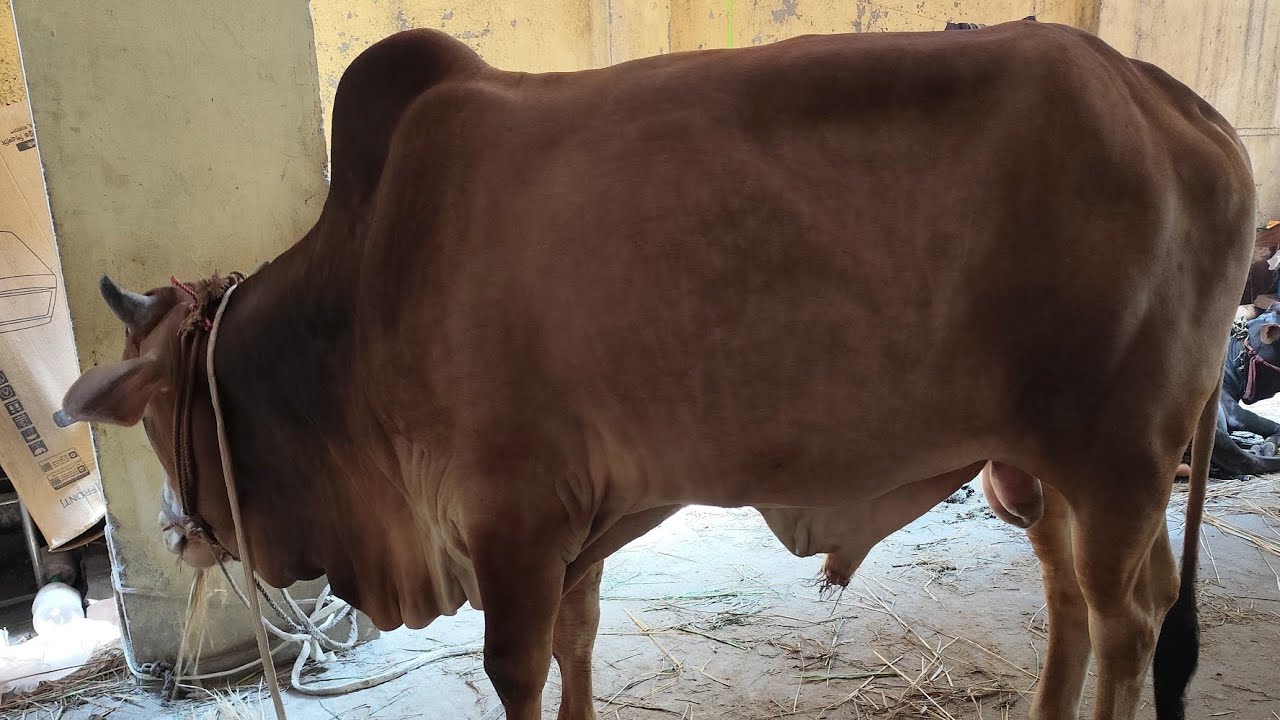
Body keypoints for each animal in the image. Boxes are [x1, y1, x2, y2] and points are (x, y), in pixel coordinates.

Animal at [54, 20, 1252, 720]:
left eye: (157, 416)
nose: (177, 530)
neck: (365, 278)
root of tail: (1175, 102)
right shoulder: (574, 529)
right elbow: (576, 649)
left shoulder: (510, 521)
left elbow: (516, 670)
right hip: (1043, 467)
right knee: (1080, 599)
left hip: (1115, 458)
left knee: (1124, 619)